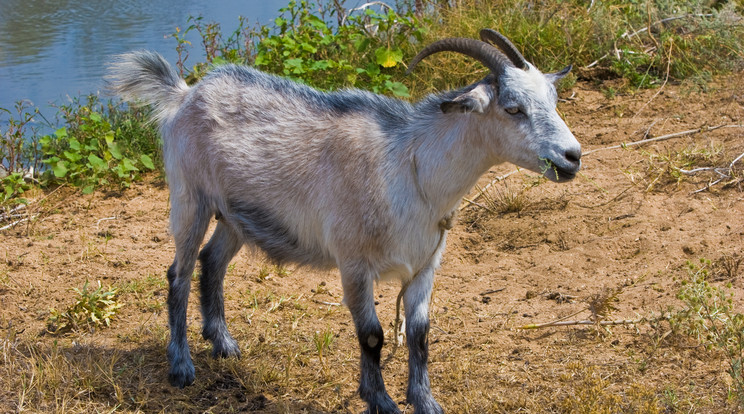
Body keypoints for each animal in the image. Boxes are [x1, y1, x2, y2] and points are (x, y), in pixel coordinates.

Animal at [107, 29, 580, 414]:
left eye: (553, 101)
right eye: (513, 108)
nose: (572, 157)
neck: (409, 167)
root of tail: (185, 94)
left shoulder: (425, 265)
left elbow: (420, 334)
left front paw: (424, 401)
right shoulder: (354, 264)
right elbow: (372, 335)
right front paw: (381, 401)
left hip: (236, 216)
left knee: (212, 261)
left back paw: (222, 343)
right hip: (191, 199)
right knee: (178, 273)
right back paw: (181, 365)